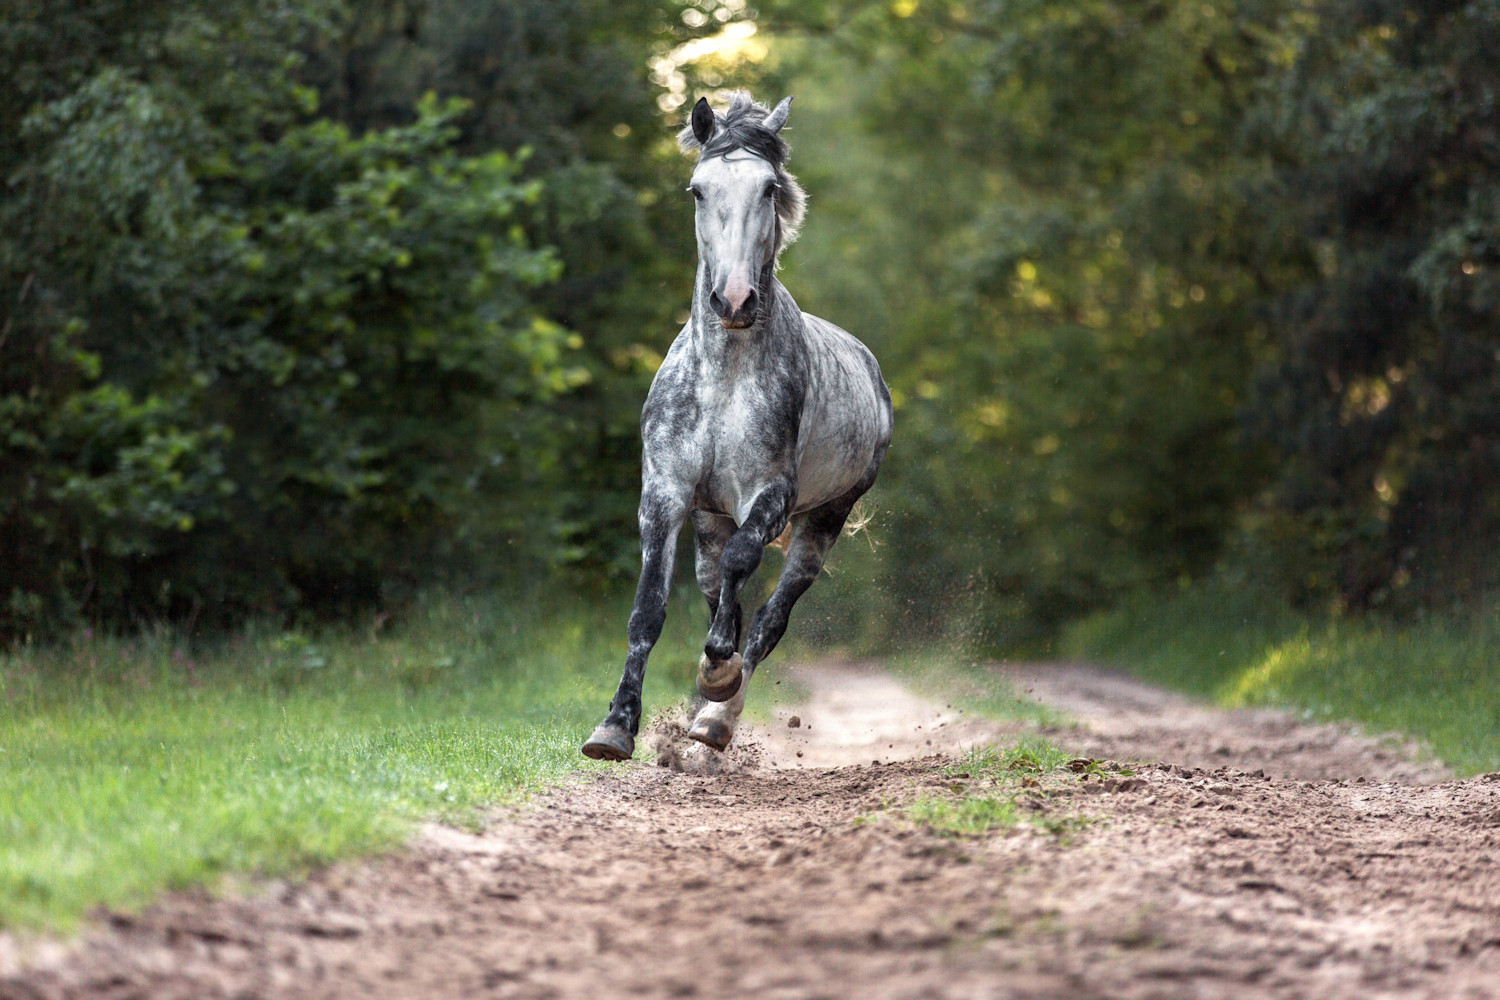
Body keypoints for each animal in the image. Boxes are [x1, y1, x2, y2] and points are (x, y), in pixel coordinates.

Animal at [581, 92, 893, 761]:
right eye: (698, 190)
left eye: (769, 188)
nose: (733, 300)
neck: (724, 376)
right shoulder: (665, 494)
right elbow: (649, 609)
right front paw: (615, 727)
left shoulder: (770, 496)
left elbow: (743, 568)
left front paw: (717, 677)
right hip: (710, 516)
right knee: (714, 589)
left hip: (825, 518)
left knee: (770, 615)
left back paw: (717, 717)